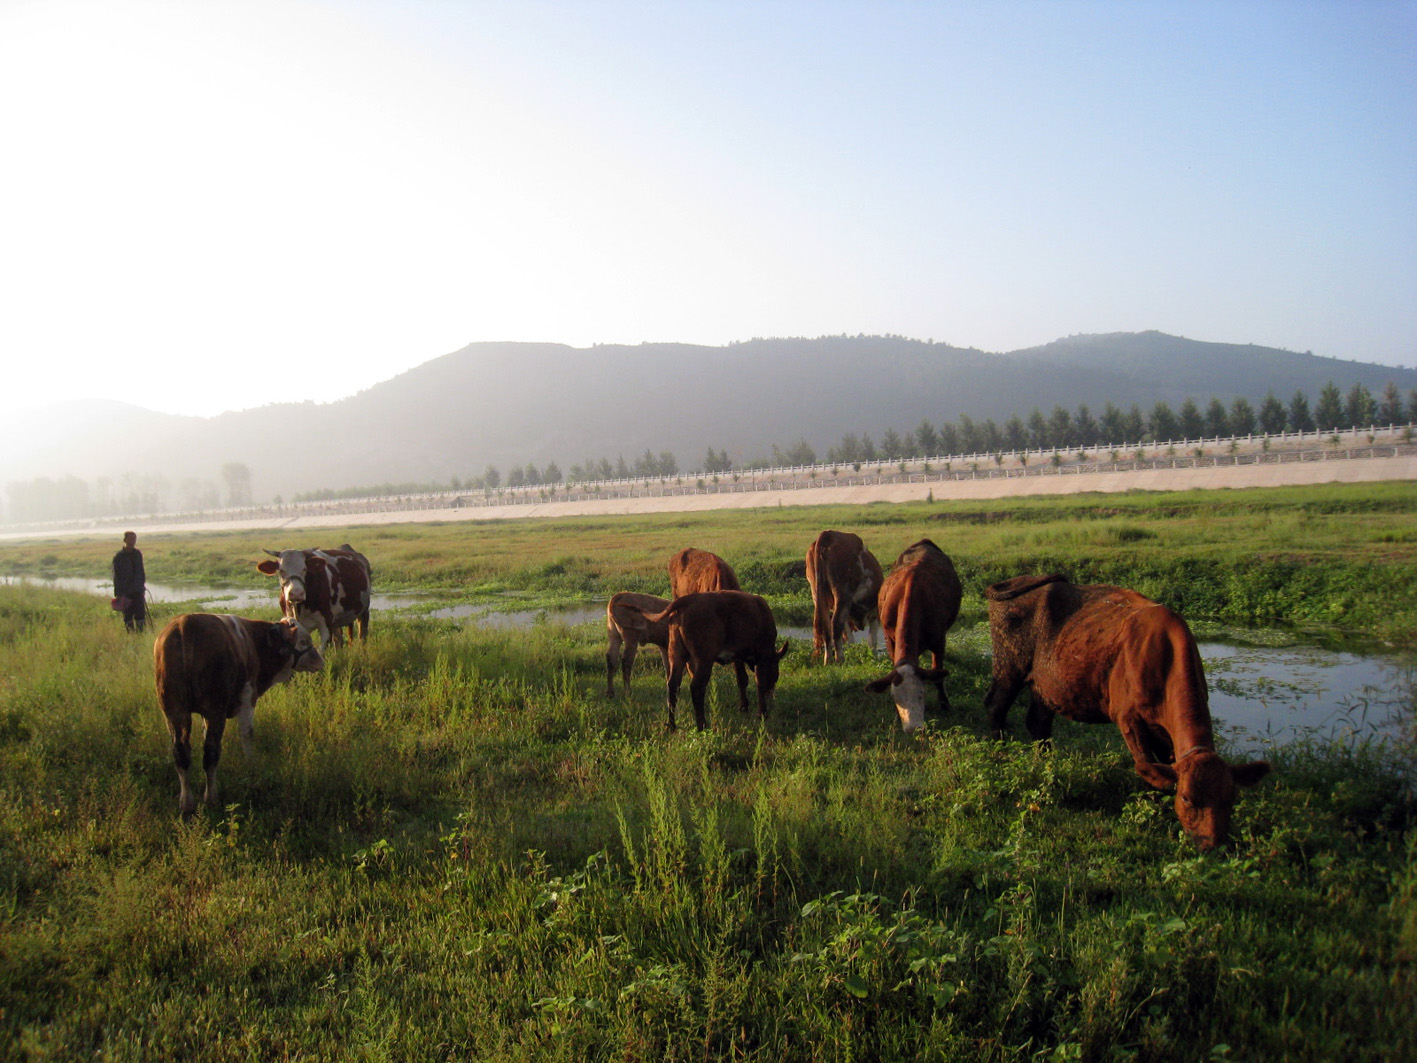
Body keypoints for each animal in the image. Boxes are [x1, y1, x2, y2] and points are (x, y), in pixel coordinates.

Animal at [153, 615, 324, 816]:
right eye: (304, 641)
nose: (320, 660)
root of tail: (185, 623)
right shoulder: (248, 696)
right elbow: (247, 734)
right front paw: (252, 767)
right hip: (215, 709)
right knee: (210, 751)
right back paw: (211, 798)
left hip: (174, 710)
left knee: (181, 752)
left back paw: (187, 803)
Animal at [804, 532, 878, 666]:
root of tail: (828, 534)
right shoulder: (874, 610)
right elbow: (872, 639)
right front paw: (874, 657)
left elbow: (849, 637)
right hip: (843, 593)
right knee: (836, 623)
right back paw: (839, 659)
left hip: (817, 593)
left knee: (826, 625)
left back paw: (828, 660)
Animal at [861, 541, 963, 731]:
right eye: (895, 698)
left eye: (922, 693)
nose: (912, 728)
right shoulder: (889, 639)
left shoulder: (939, 640)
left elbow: (938, 675)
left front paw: (944, 704)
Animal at [986, 578, 1275, 856]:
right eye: (1186, 798)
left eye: (1230, 798)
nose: (1214, 845)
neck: (1163, 660)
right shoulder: (1128, 718)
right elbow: (1147, 765)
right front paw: (1153, 810)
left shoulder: (1163, 729)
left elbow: (1165, 765)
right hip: (1008, 668)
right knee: (996, 707)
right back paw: (998, 751)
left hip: (1045, 686)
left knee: (1038, 723)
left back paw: (1046, 764)